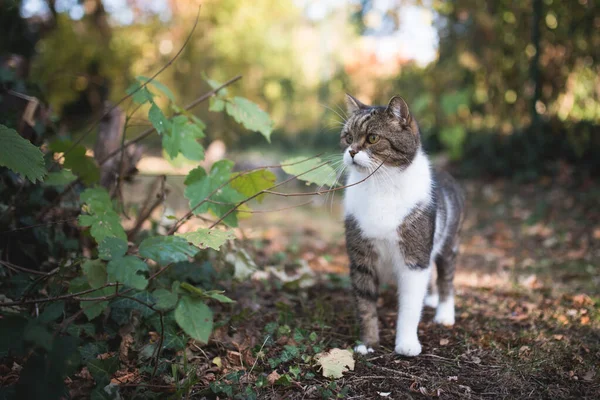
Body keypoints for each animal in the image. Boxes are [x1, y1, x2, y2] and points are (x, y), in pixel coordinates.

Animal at [342, 94, 464, 356]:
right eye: (347, 137)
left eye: (372, 138)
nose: (351, 151)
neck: (380, 186)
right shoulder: (361, 258)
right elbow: (365, 305)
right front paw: (368, 344)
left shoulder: (414, 258)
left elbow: (409, 306)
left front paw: (406, 344)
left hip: (449, 243)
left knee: (446, 278)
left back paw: (444, 314)